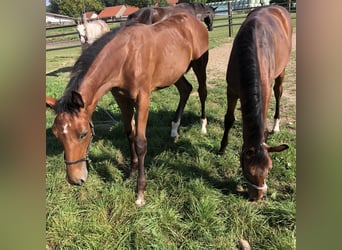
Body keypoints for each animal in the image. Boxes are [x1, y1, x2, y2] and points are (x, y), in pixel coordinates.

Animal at [46, 12, 208, 206]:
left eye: (84, 134)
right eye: (56, 134)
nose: (75, 179)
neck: (125, 56)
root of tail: (194, 19)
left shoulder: (143, 99)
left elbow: (140, 142)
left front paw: (140, 193)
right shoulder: (122, 99)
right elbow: (130, 135)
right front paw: (130, 174)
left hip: (200, 64)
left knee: (202, 91)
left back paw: (203, 126)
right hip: (175, 72)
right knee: (186, 89)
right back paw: (174, 130)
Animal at [218, 5, 292, 201]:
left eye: (269, 170)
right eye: (247, 170)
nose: (257, 197)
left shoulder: (264, 92)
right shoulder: (231, 90)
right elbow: (228, 119)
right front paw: (221, 148)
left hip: (281, 72)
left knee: (279, 93)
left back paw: (276, 125)